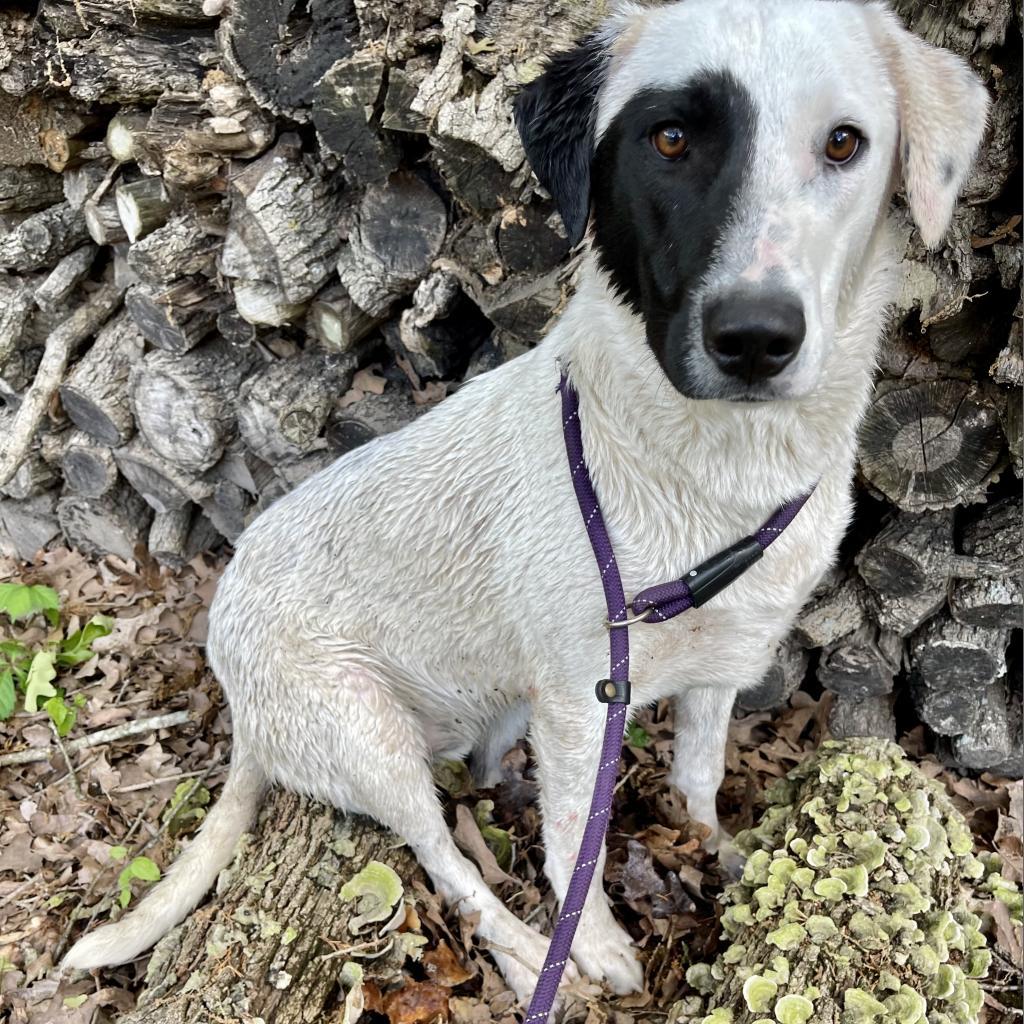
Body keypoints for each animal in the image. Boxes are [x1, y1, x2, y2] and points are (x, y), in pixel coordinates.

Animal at [66, 0, 991, 1007]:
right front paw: (594, 939)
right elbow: (570, 839)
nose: (755, 337)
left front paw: (718, 853)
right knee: (443, 860)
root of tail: (235, 690)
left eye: (844, 142)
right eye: (669, 138)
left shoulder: (717, 671)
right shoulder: (583, 701)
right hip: (366, 735)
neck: (706, 476)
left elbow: (699, 780)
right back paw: (520, 949)